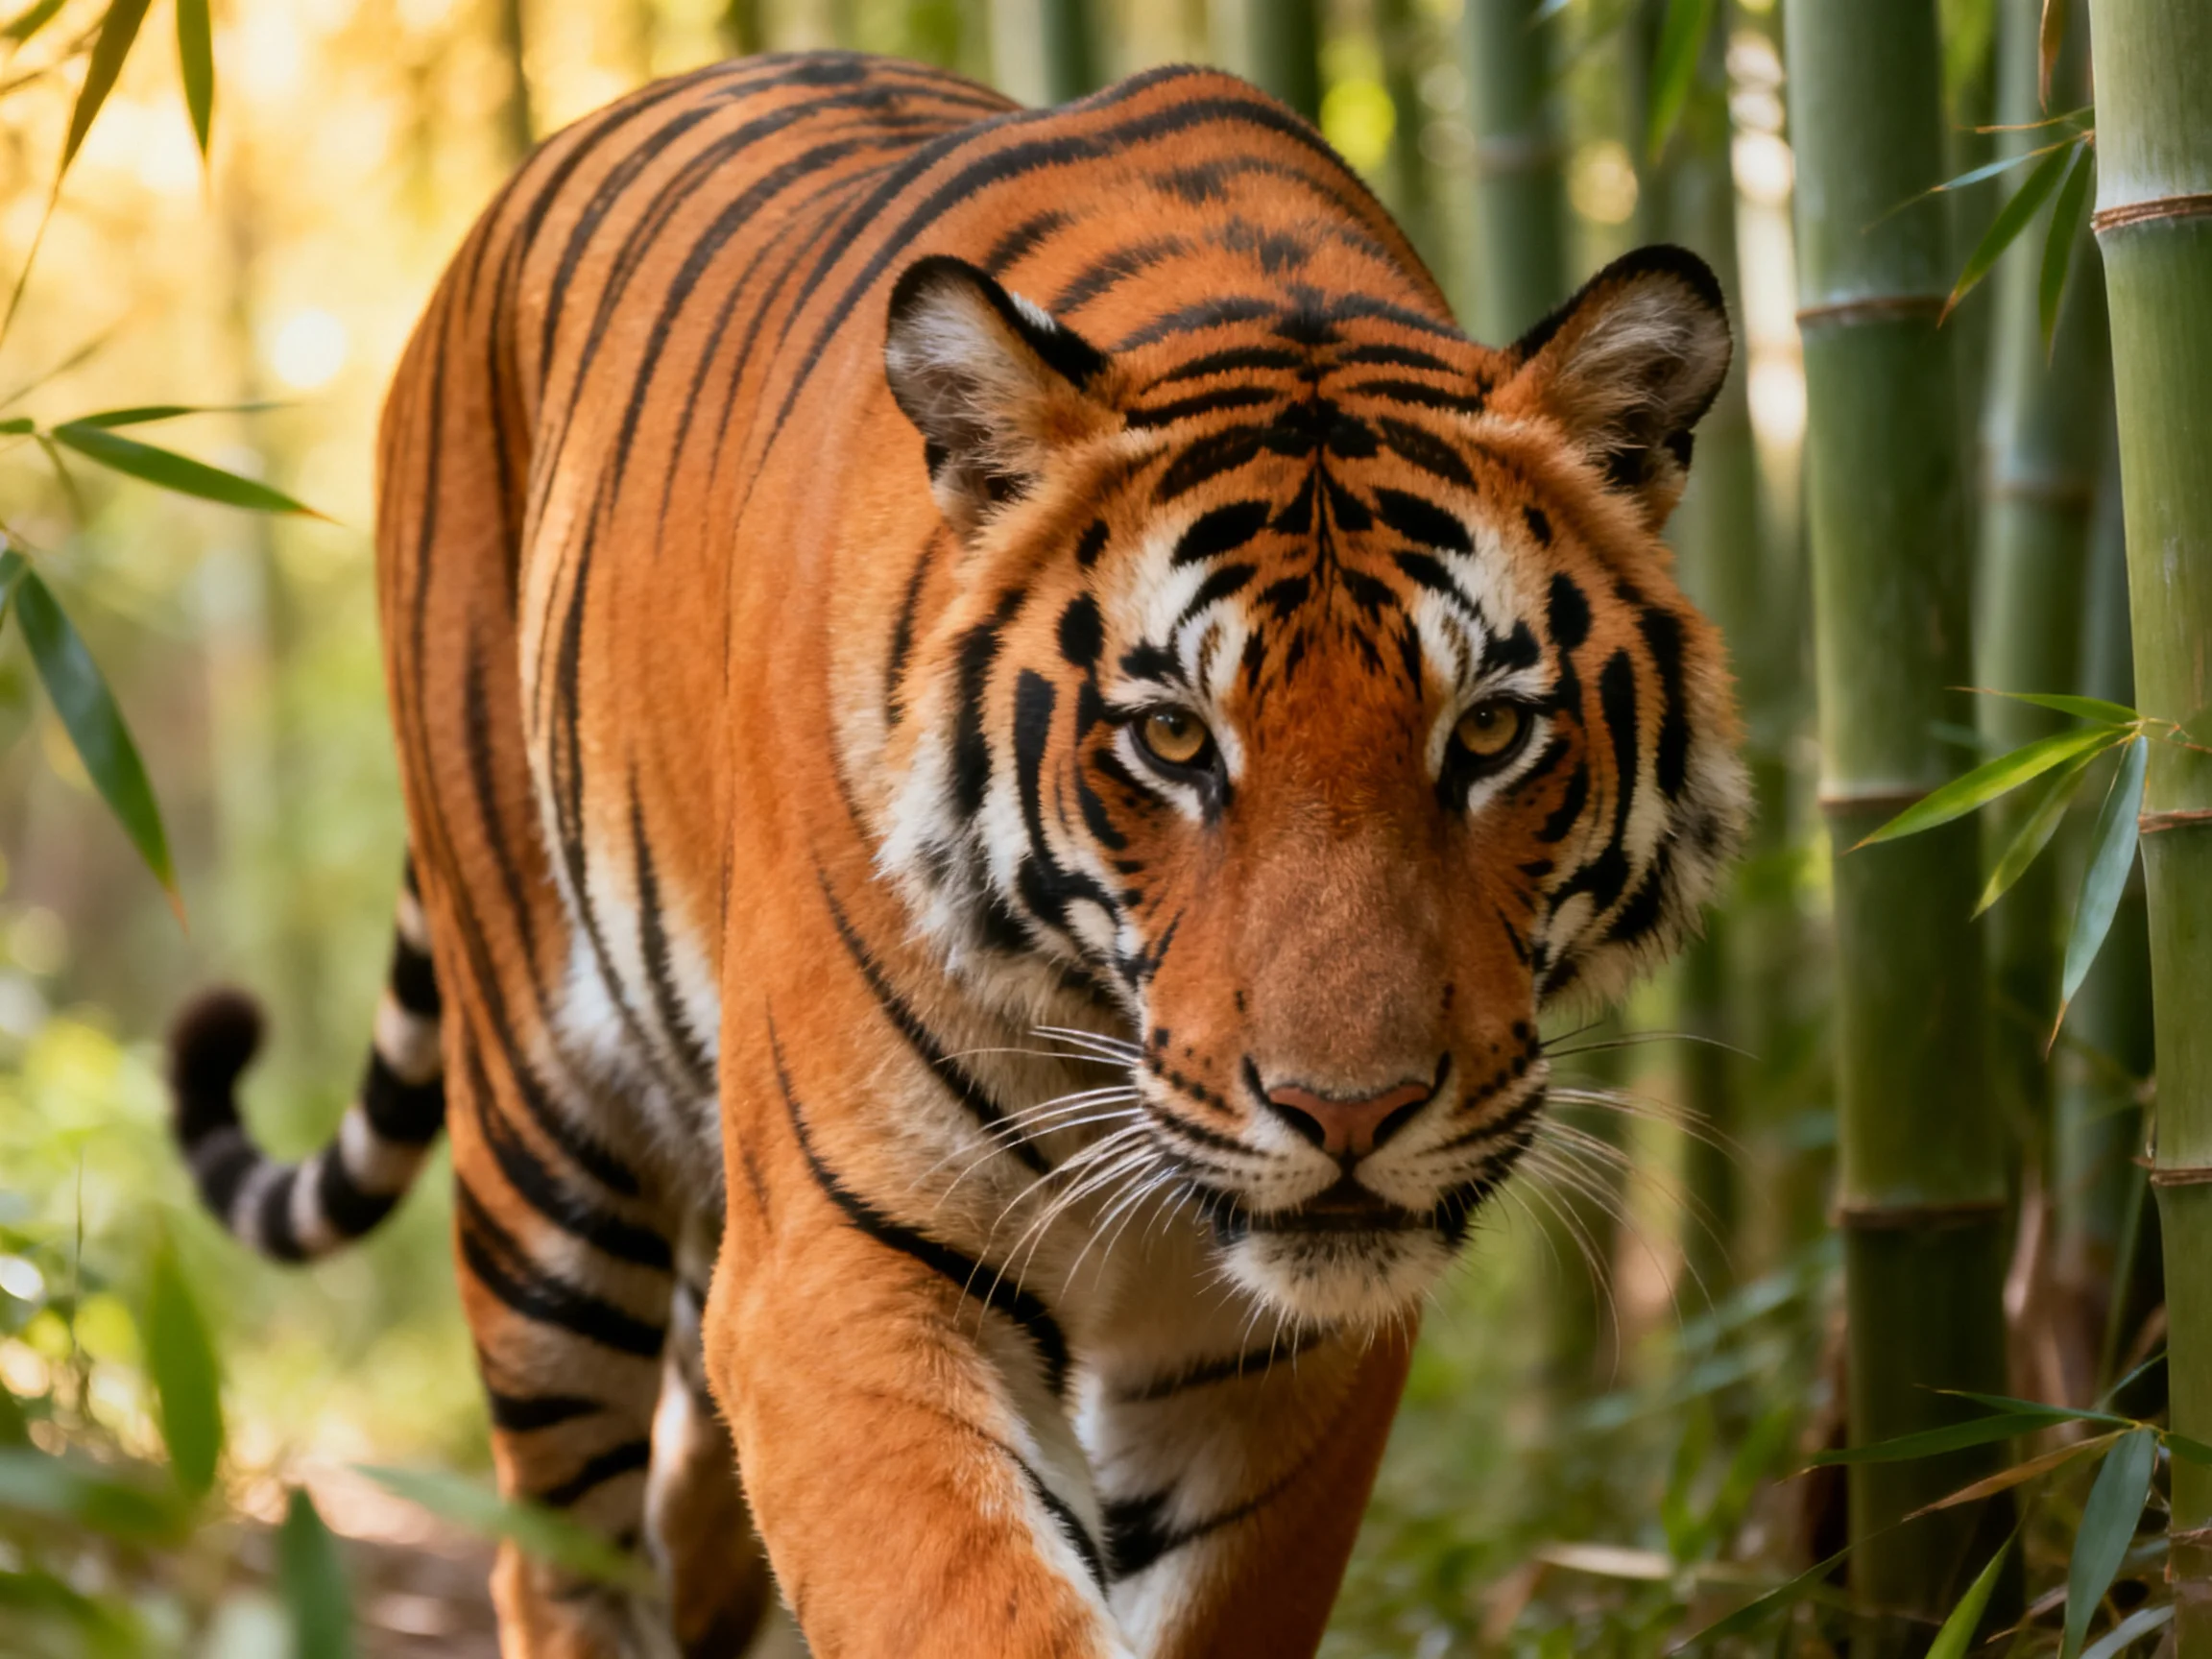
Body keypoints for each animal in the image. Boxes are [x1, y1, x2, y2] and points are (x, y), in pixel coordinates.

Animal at [166, 50, 1745, 1659]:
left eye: (1487, 732)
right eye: (1173, 741)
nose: (1347, 1116)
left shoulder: (1274, 1350)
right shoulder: (843, 1264)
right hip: (544, 1145)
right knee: (552, 1559)